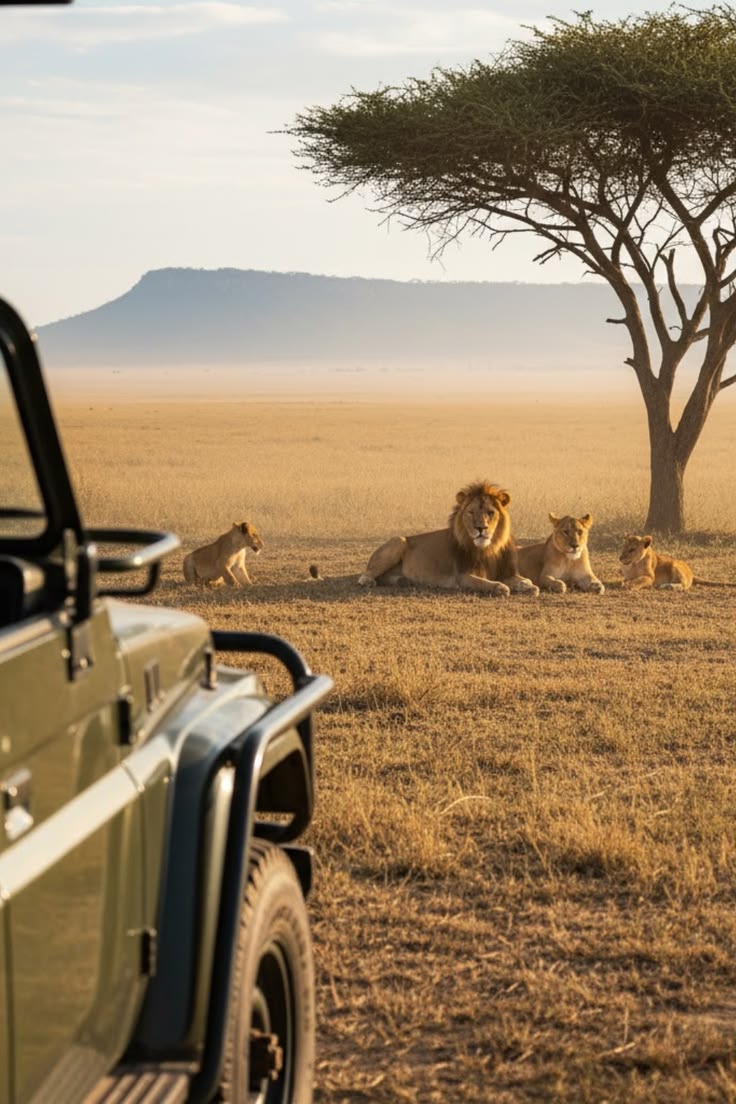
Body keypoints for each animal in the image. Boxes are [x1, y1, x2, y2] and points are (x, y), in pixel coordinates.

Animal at [357, 480, 539, 598]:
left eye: (490, 512)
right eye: (471, 512)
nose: (481, 528)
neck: (489, 548)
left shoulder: (505, 571)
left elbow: (527, 580)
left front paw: (529, 586)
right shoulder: (463, 576)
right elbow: (486, 583)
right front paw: (501, 588)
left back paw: (404, 581)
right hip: (398, 540)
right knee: (366, 575)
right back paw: (369, 582)